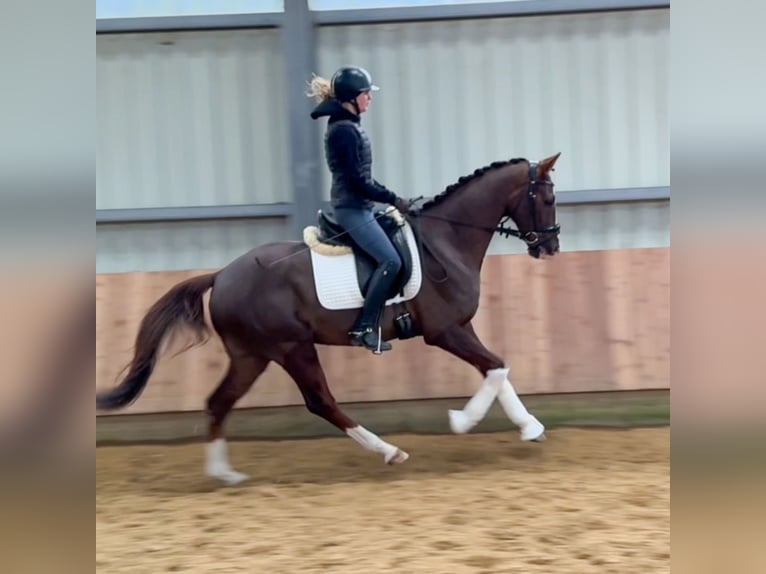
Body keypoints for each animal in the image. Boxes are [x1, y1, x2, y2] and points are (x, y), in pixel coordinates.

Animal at [96, 152, 564, 486]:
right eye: (547, 198)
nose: (550, 247)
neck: (446, 240)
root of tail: (222, 275)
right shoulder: (445, 331)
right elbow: (496, 366)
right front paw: (464, 421)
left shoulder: (460, 328)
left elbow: (497, 369)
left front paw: (530, 428)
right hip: (289, 348)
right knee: (319, 400)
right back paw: (388, 451)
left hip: (252, 355)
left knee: (220, 402)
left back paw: (224, 474)